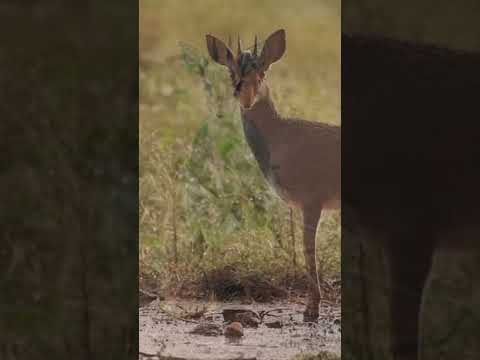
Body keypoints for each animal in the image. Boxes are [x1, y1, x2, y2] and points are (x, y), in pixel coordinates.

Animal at [206, 30, 342, 320]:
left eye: (262, 71)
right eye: (231, 72)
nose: (244, 96)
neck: (280, 136)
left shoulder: (312, 201)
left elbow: (308, 249)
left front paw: (311, 309)